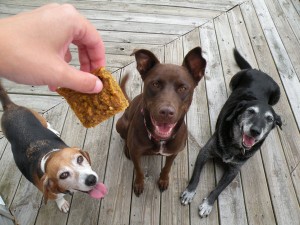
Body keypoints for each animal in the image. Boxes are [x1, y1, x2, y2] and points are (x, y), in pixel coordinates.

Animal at [116, 47, 206, 195]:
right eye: (155, 84)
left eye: (183, 88)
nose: (166, 112)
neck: (160, 139)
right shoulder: (136, 154)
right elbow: (139, 170)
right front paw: (139, 183)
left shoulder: (173, 153)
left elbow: (167, 168)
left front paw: (163, 180)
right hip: (121, 124)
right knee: (125, 138)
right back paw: (126, 148)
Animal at [180, 49, 282, 218]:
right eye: (250, 111)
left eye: (270, 119)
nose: (255, 131)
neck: (234, 145)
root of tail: (259, 71)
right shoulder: (204, 152)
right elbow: (196, 176)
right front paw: (189, 192)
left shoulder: (234, 171)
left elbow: (219, 189)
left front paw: (207, 204)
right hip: (234, 80)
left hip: (277, 95)